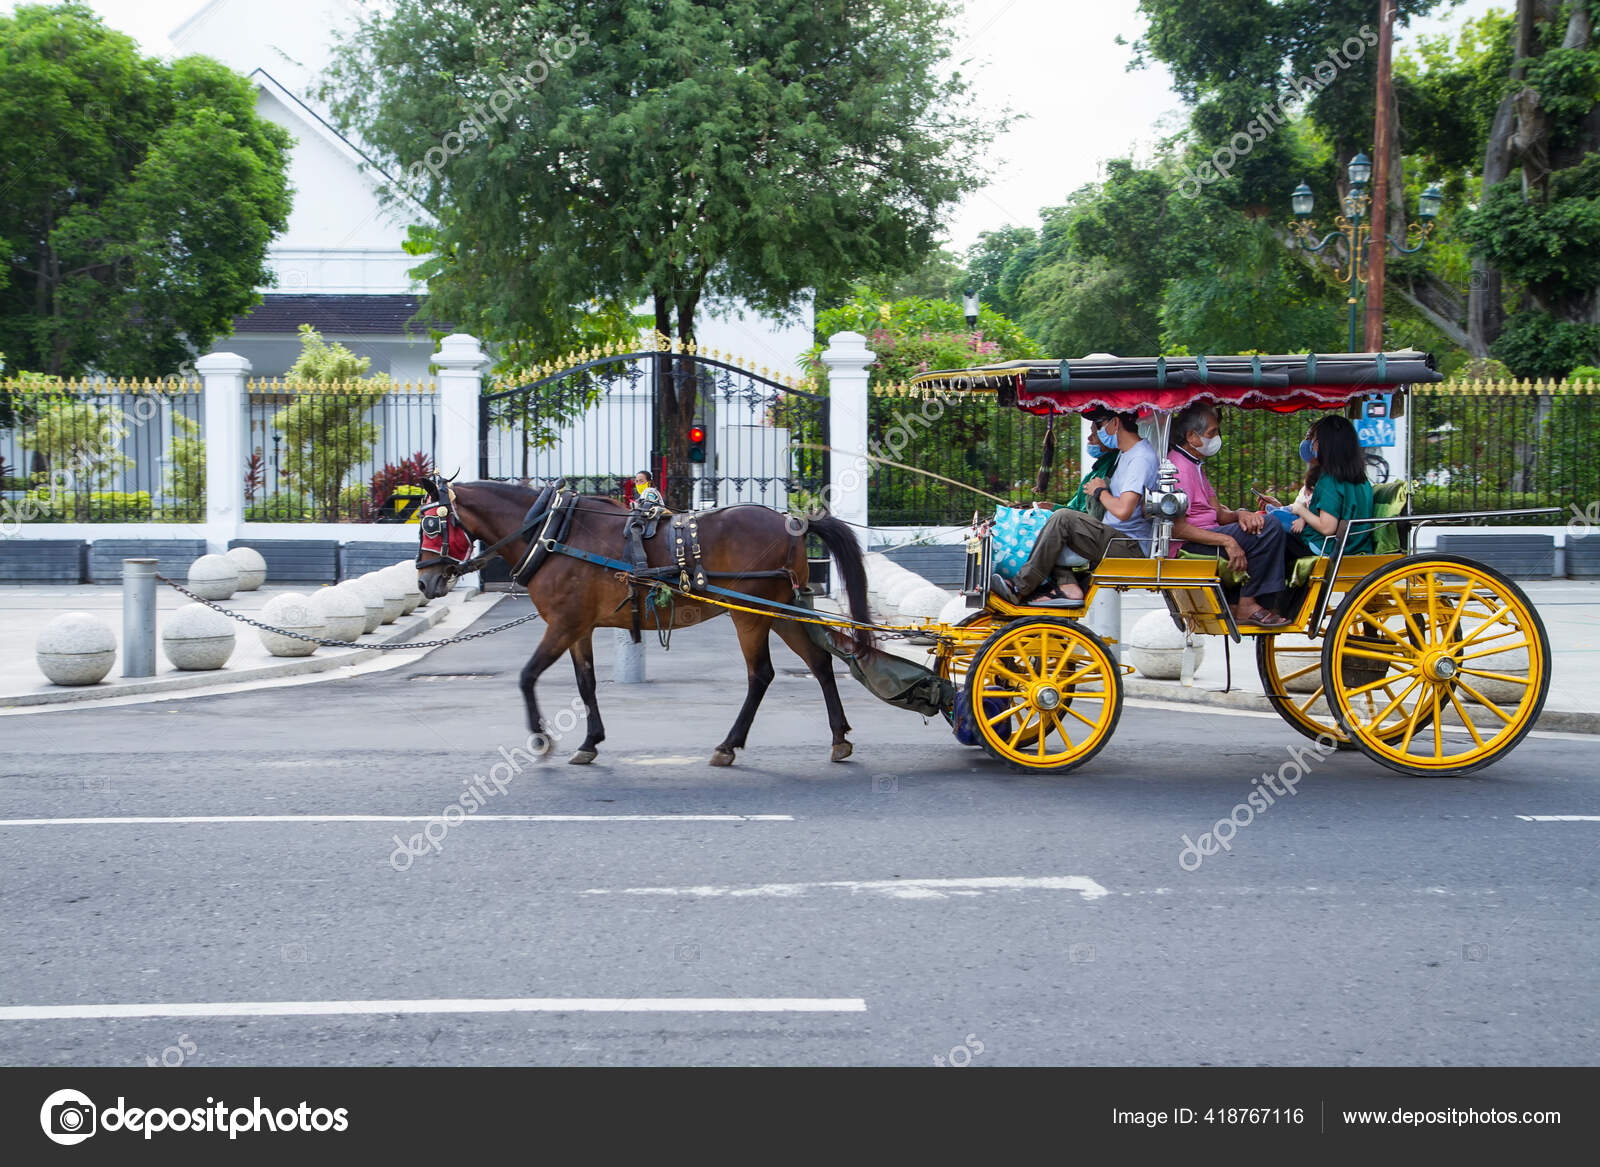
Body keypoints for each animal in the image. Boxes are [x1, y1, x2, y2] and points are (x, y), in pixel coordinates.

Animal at [412, 473, 876, 765]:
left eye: (431, 525)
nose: (424, 580)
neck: (551, 534)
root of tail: (791, 520)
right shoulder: (578, 628)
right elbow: (585, 682)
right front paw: (590, 741)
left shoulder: (562, 624)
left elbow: (527, 675)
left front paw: (542, 738)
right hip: (780, 610)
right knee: (820, 663)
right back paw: (839, 737)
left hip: (751, 614)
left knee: (761, 674)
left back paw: (729, 744)